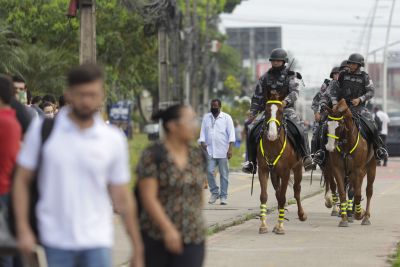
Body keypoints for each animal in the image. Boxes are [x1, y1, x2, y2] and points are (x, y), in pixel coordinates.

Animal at [256, 92, 306, 234]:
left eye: (281, 111)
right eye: (266, 111)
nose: (272, 135)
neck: (273, 145)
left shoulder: (285, 172)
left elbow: (284, 197)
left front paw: (280, 226)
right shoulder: (263, 170)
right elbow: (264, 196)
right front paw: (263, 225)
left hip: (297, 168)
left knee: (296, 190)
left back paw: (301, 215)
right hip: (274, 174)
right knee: (277, 193)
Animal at [324, 99, 376, 227]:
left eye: (339, 125)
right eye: (327, 125)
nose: (329, 147)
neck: (347, 143)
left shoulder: (358, 169)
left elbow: (356, 193)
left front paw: (358, 213)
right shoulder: (338, 169)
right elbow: (342, 192)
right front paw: (344, 219)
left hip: (371, 167)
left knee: (368, 191)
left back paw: (365, 217)